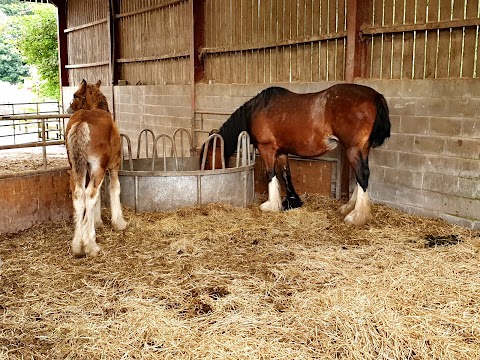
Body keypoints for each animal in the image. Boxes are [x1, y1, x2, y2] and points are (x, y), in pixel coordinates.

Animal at [64, 80, 127, 258]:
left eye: (75, 95)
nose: (69, 108)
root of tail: (82, 122)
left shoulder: (86, 168)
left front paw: (96, 221)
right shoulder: (113, 166)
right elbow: (114, 189)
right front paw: (119, 222)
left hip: (76, 168)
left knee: (79, 195)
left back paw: (77, 246)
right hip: (98, 168)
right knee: (90, 194)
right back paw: (91, 245)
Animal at [201, 84, 392, 225]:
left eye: (208, 157)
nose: (209, 172)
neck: (255, 110)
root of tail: (375, 96)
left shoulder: (266, 149)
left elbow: (270, 174)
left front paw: (271, 205)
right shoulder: (281, 152)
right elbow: (286, 175)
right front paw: (292, 202)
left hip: (353, 149)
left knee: (362, 175)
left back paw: (356, 216)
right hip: (361, 149)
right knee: (359, 177)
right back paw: (348, 208)